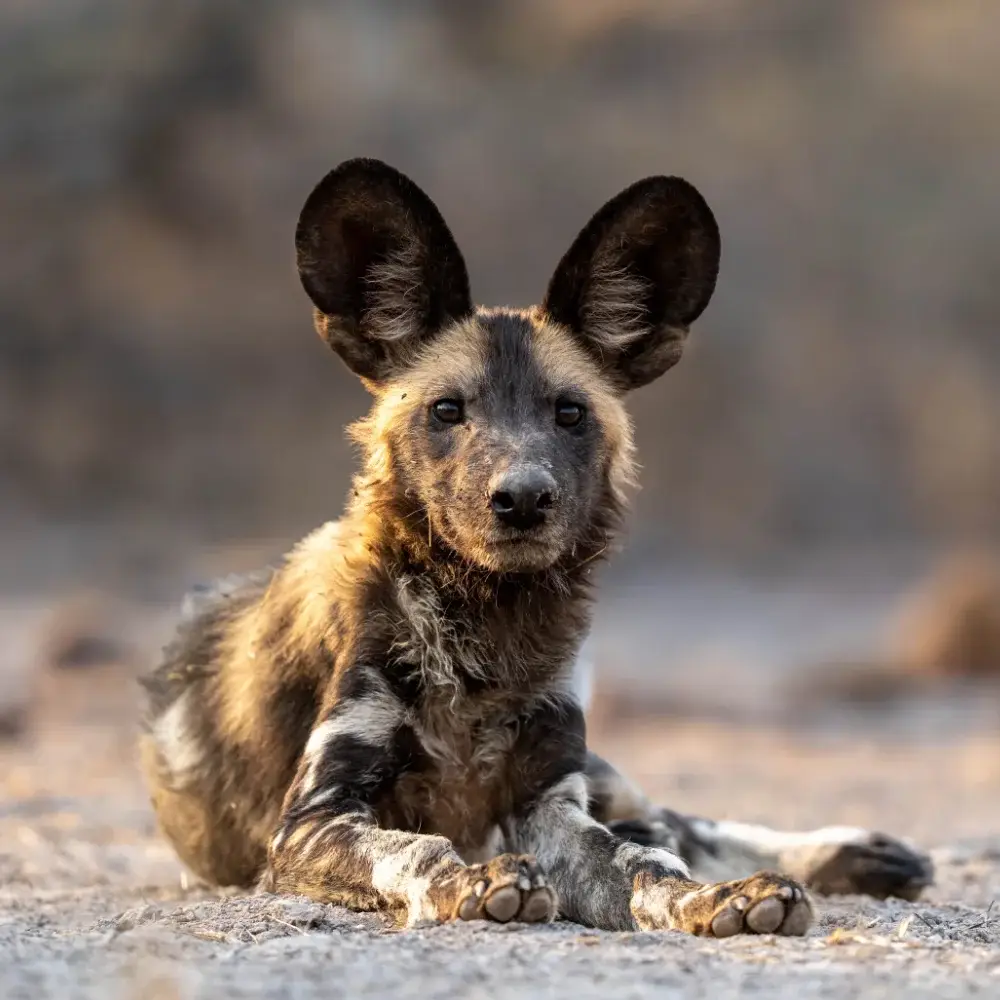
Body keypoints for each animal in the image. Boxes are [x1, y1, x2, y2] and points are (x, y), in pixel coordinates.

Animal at [139, 158, 931, 935]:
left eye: (570, 413)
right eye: (447, 411)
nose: (521, 498)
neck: (488, 630)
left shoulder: (551, 803)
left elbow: (646, 867)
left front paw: (717, 901)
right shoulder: (313, 821)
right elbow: (416, 849)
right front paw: (473, 883)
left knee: (675, 827)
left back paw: (851, 855)